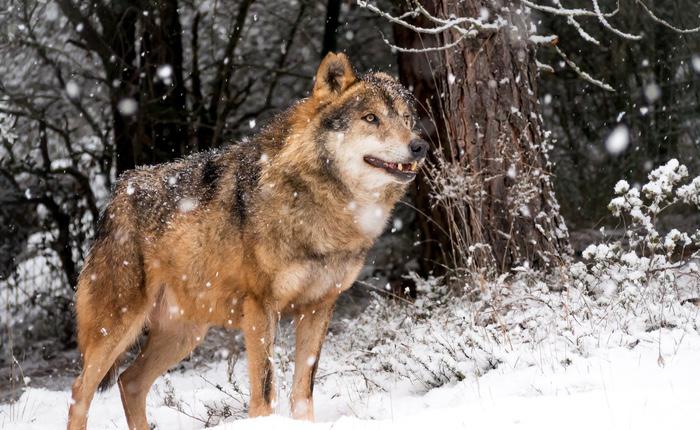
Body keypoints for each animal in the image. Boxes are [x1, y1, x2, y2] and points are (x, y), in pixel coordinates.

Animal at [67, 52, 426, 428]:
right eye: (371, 118)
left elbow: (303, 390)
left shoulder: (320, 306)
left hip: (185, 334)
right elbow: (265, 392)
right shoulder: (260, 307)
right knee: (81, 391)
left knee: (130, 381)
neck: (320, 204)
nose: (420, 145)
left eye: (405, 118)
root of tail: (118, 193)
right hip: (116, 329)